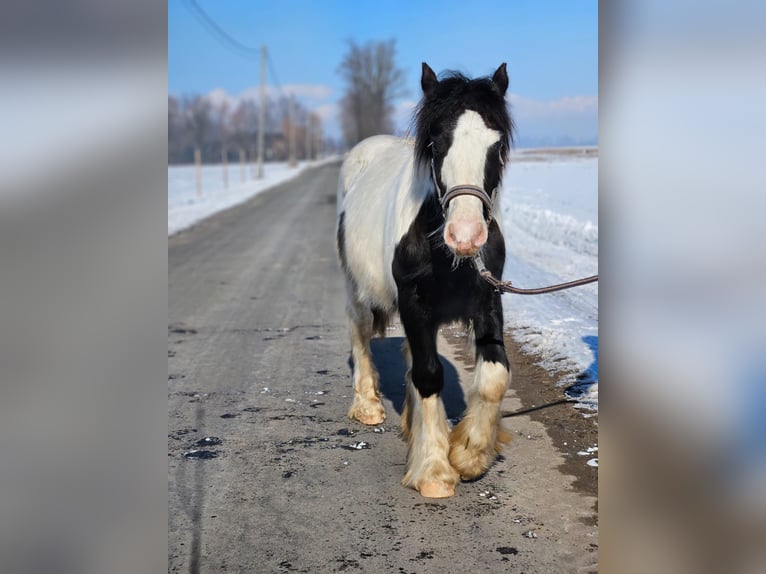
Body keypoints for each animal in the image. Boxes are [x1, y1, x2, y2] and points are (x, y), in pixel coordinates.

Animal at [338, 60, 512, 498]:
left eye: (498, 145)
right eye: (436, 142)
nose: (466, 236)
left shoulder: (488, 299)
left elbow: (494, 377)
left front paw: (468, 454)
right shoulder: (415, 303)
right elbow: (430, 375)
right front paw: (434, 470)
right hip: (356, 290)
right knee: (360, 334)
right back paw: (368, 406)